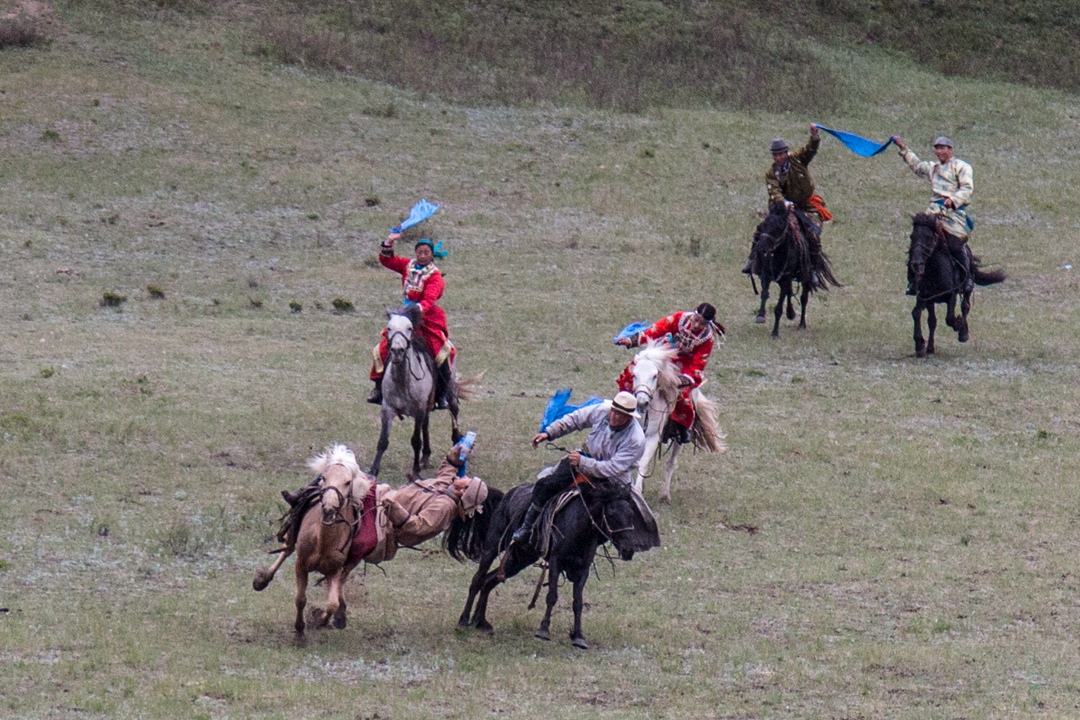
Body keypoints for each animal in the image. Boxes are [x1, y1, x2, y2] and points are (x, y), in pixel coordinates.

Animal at [252, 444, 375, 634]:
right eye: (324, 477)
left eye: (348, 482)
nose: (328, 509)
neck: (323, 542)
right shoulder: (300, 565)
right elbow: (300, 599)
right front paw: (300, 627)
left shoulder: (334, 570)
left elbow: (332, 603)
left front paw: (322, 621)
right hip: (292, 535)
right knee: (286, 550)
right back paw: (263, 579)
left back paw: (340, 616)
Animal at [369, 304, 462, 479]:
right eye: (389, 328)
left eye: (409, 328)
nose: (397, 351)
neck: (402, 381)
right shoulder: (388, 409)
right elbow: (383, 440)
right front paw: (372, 471)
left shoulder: (418, 410)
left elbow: (415, 441)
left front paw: (416, 471)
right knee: (426, 423)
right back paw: (425, 456)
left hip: (450, 391)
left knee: (454, 411)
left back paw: (457, 444)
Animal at [626, 341, 725, 505]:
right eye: (634, 375)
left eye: (655, 375)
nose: (641, 402)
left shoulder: (652, 437)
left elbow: (643, 463)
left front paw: (637, 492)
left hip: (680, 439)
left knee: (671, 462)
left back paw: (665, 495)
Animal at [751, 202, 842, 338]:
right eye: (764, 224)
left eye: (779, 226)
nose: (761, 247)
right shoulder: (766, 274)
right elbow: (765, 293)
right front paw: (760, 316)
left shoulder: (786, 278)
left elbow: (779, 307)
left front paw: (775, 333)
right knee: (789, 293)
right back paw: (791, 313)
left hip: (805, 278)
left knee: (803, 298)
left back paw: (801, 324)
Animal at [907, 215, 1006, 358]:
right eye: (912, 236)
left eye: (929, 237)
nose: (915, 263)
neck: (935, 270)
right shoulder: (924, 297)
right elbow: (917, 314)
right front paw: (920, 345)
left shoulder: (951, 296)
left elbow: (949, 319)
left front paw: (959, 325)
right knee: (932, 321)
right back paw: (930, 347)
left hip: (967, 290)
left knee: (965, 307)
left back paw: (963, 333)